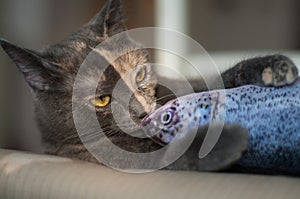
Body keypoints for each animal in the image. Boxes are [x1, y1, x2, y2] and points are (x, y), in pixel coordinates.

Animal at [0, 0, 298, 171]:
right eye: (102, 100)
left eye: (140, 75)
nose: (143, 112)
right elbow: (159, 154)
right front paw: (226, 138)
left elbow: (208, 82)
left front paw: (272, 67)